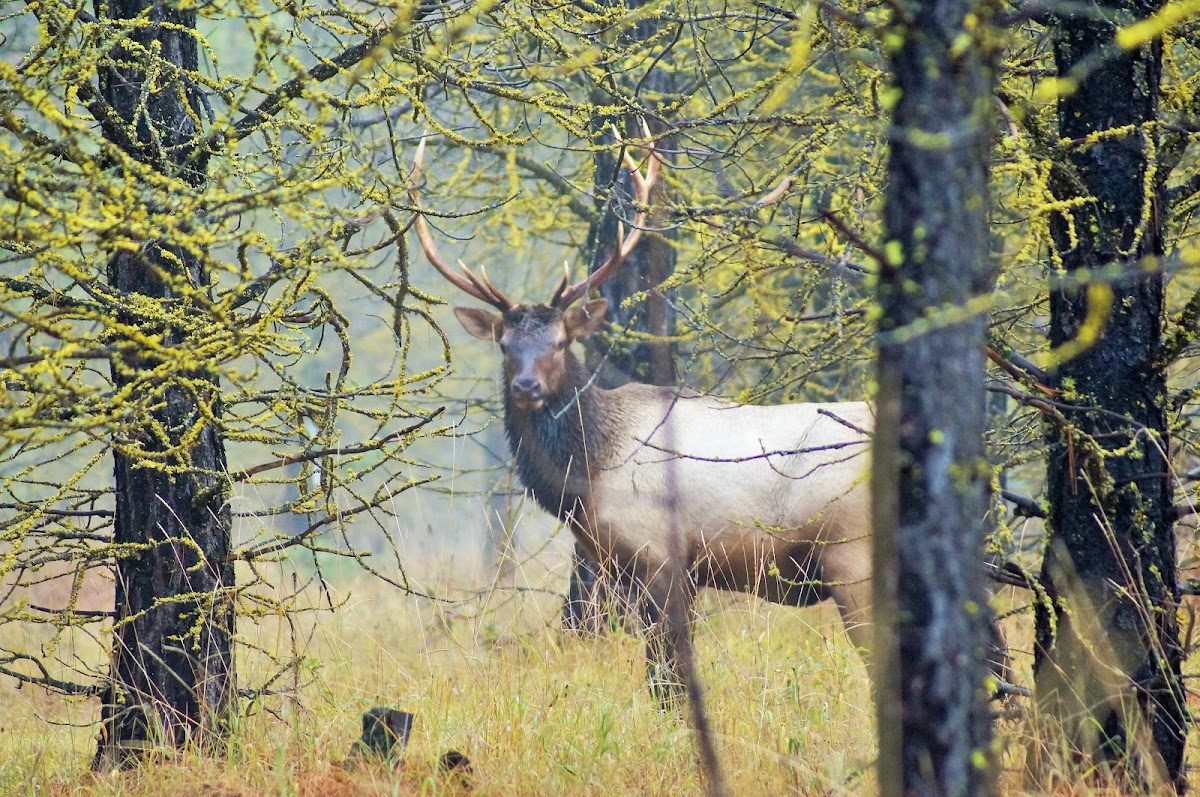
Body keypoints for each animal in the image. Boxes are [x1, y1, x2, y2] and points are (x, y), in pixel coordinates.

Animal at [410, 141, 993, 705]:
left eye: (559, 342)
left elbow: (667, 673)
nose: (526, 387)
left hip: (854, 554)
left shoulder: (662, 555)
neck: (589, 474)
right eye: (505, 346)